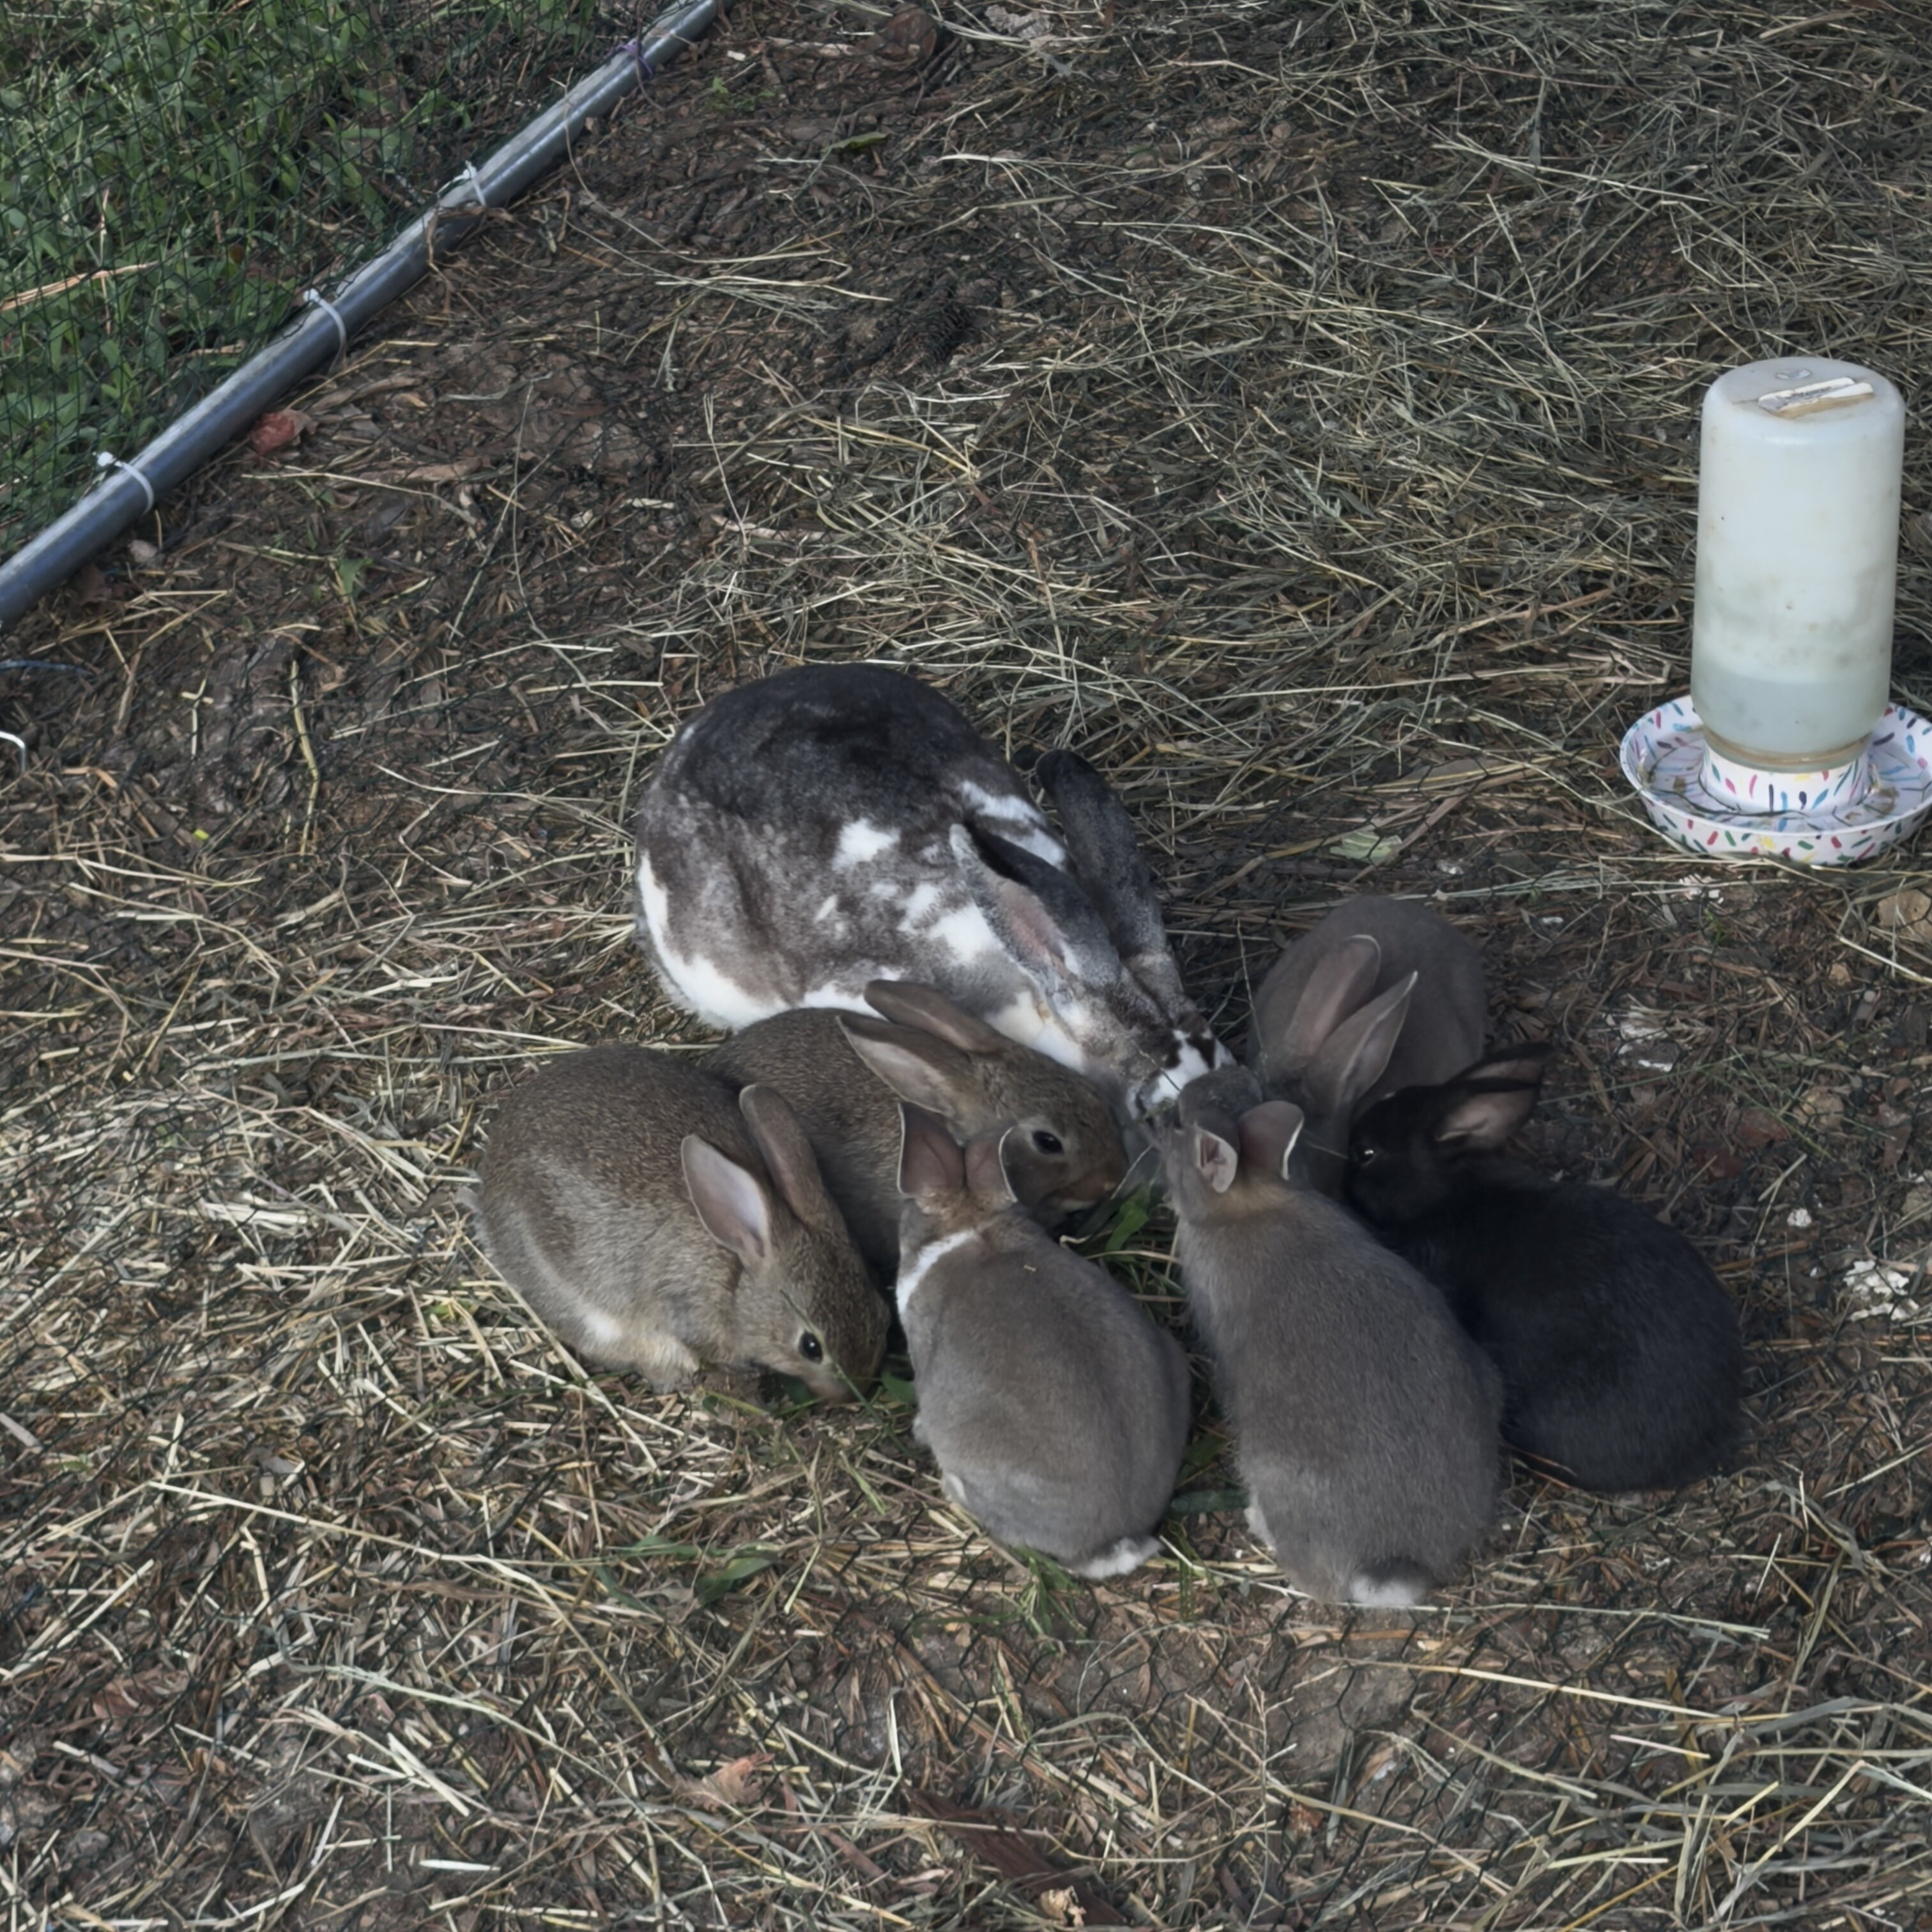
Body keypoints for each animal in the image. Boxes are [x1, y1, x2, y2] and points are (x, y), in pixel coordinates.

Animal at [473, 1046, 886, 1404]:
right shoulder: (684, 1306)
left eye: (880, 1310)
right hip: (581, 1305)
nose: (855, 1393)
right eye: (810, 1347)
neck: (736, 1277)